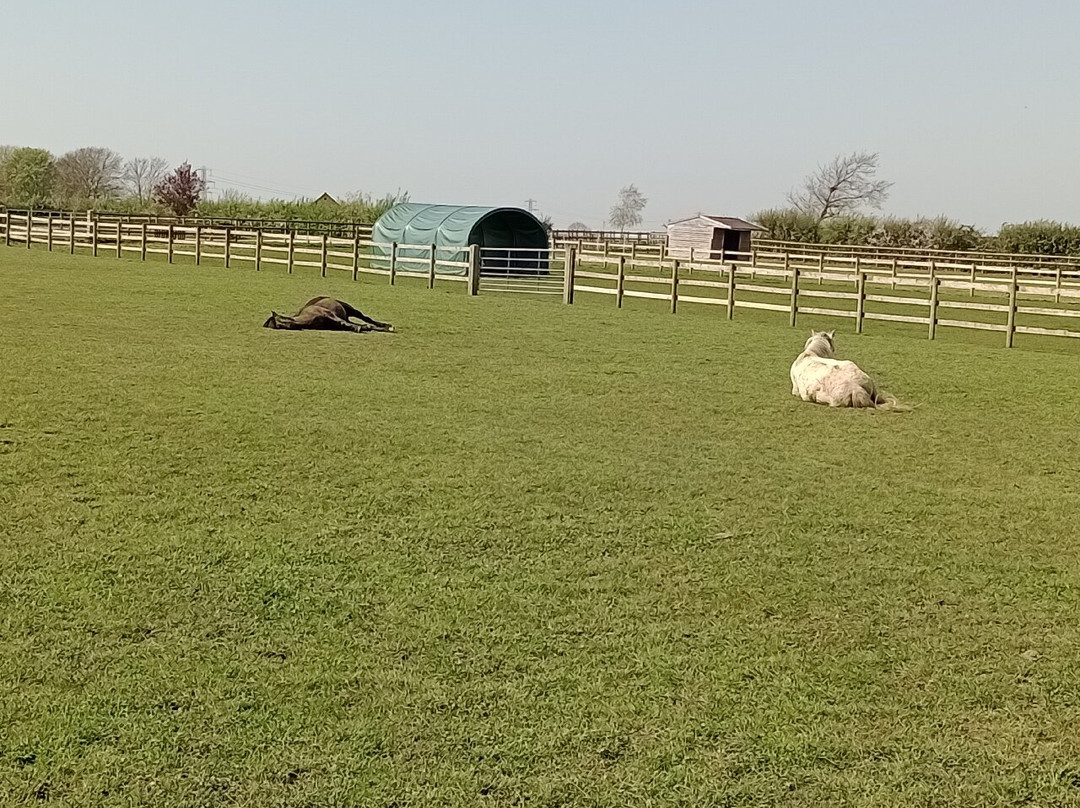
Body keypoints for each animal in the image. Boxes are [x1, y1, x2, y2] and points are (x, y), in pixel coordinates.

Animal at [263, 297, 394, 334]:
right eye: (277, 326)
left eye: (280, 320)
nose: (293, 326)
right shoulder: (334, 324)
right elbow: (348, 325)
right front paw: (362, 328)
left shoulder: (330, 315)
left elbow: (345, 323)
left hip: (351, 309)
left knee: (366, 318)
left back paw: (386, 326)